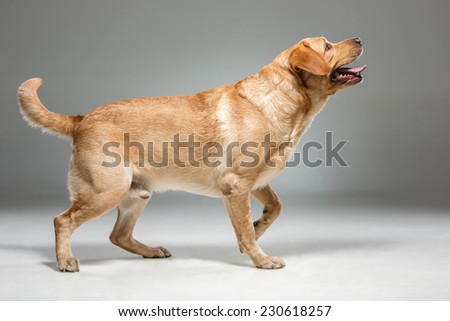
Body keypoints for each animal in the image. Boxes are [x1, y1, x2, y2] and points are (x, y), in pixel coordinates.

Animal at [17, 35, 366, 270]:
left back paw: (150, 251)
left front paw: (256, 229)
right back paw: (65, 260)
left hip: (136, 194)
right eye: (327, 46)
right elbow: (246, 229)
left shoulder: (255, 183)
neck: (282, 100)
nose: (359, 39)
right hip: (106, 191)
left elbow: (274, 209)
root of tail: (81, 119)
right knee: (62, 220)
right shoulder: (236, 184)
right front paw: (260, 258)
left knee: (118, 235)